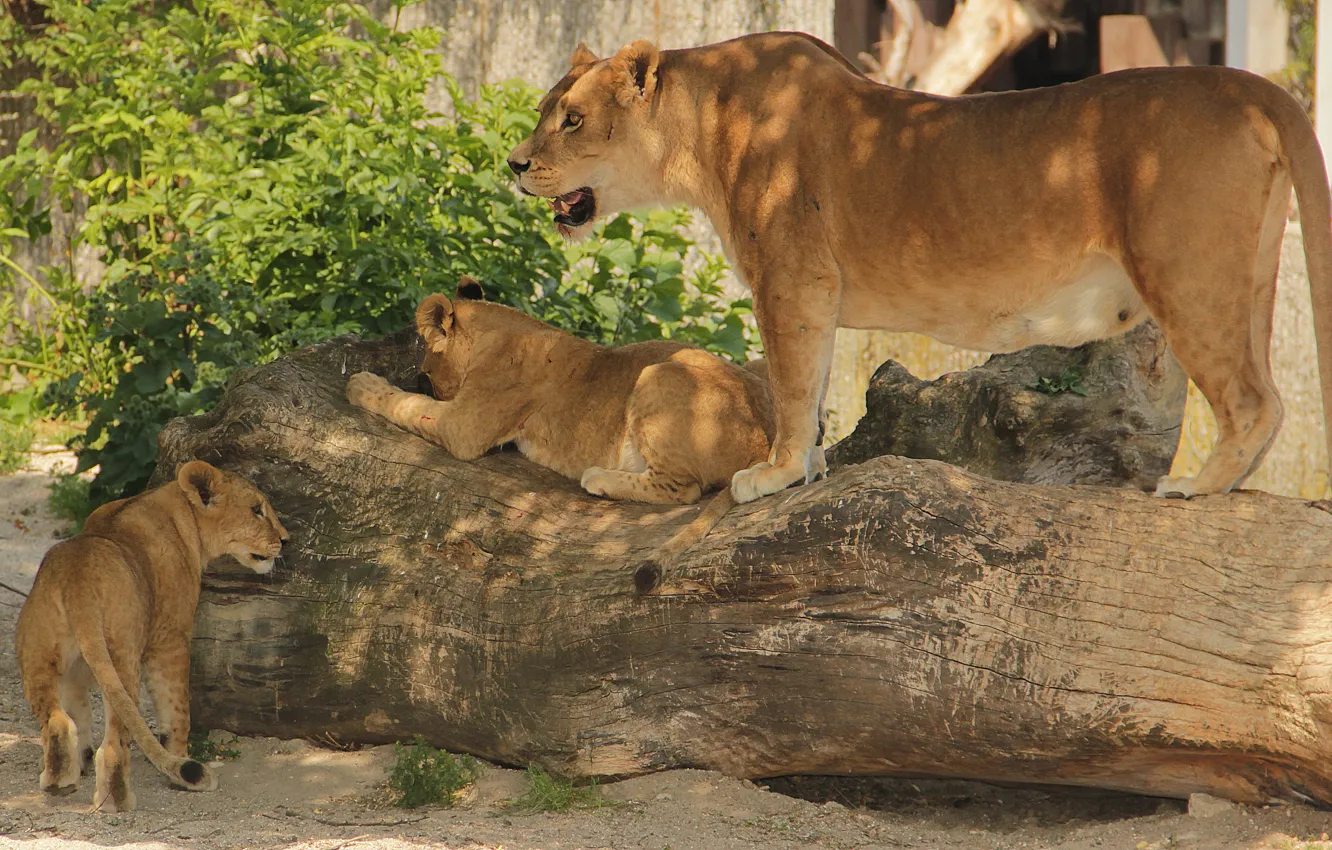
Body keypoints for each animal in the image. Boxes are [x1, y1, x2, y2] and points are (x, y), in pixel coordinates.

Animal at [15, 460, 288, 812]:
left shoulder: (77, 670)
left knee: (57, 721)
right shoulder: (170, 640)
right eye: (257, 510)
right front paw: (179, 760)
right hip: (123, 658)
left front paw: (81, 762)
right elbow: (177, 710)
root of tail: (77, 579)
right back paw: (118, 801)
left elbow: (79, 710)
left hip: (37, 654)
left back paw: (58, 783)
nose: (285, 539)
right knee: (115, 744)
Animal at [345, 277, 773, 505]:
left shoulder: (464, 426)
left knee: (683, 489)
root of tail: (764, 440)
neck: (494, 331)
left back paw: (600, 478)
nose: (422, 378)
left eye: (428, 372)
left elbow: (409, 404)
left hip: (661, 374)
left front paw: (363, 384)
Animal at [507, 33, 1332, 504]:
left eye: (572, 120)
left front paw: (772, 475)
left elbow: (793, 385)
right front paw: (806, 469)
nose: (514, 164)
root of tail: (1249, 83)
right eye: (548, 110)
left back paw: (1196, 488)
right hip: (1252, 275)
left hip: (1186, 274)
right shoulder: (811, 291)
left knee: (1255, 399)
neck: (702, 128)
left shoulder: (792, 279)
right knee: (1267, 394)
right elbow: (812, 385)